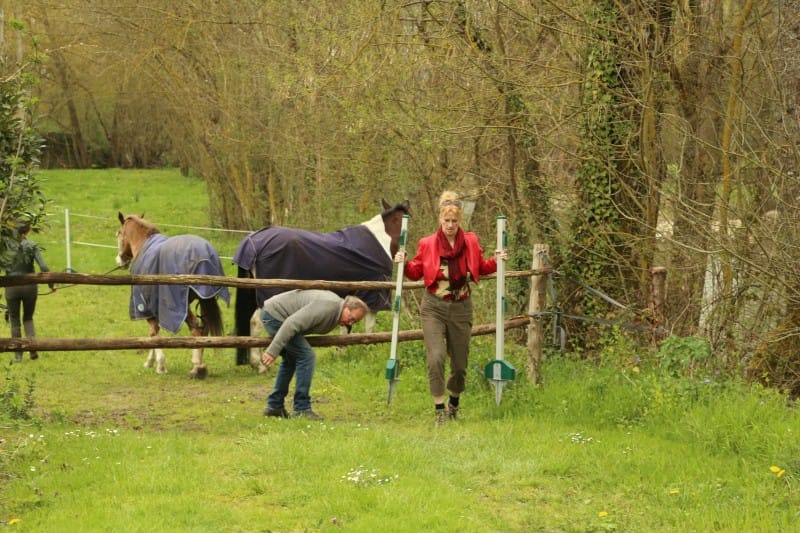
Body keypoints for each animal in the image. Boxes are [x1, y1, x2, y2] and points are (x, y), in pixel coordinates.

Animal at [115, 212, 230, 378]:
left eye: (118, 233)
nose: (119, 261)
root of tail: (203, 256)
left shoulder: (146, 306)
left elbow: (153, 333)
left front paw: (160, 365)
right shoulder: (155, 306)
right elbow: (153, 334)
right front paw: (150, 362)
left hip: (182, 305)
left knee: (196, 329)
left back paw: (197, 367)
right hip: (205, 298)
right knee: (204, 330)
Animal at [230, 200, 406, 370]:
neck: (381, 241)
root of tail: (253, 241)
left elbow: (346, 328)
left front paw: (340, 354)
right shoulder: (372, 297)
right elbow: (368, 329)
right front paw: (366, 351)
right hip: (267, 294)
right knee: (256, 322)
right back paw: (259, 364)